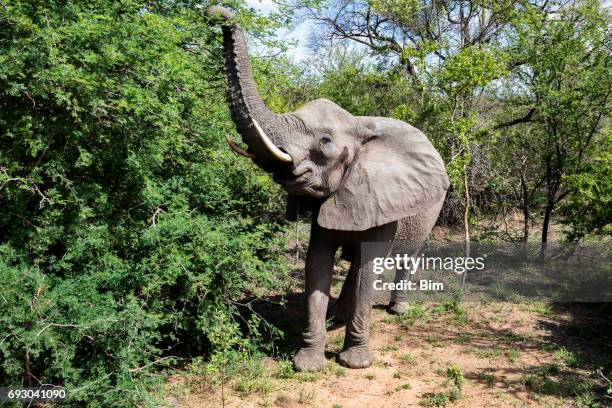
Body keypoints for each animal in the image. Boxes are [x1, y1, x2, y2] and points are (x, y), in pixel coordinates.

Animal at [206, 6, 450, 372]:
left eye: (324, 140)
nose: (212, 13)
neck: (360, 126)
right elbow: (317, 263)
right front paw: (307, 364)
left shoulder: (379, 199)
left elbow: (367, 266)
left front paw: (355, 362)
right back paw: (339, 315)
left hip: (430, 207)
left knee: (405, 254)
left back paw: (397, 310)